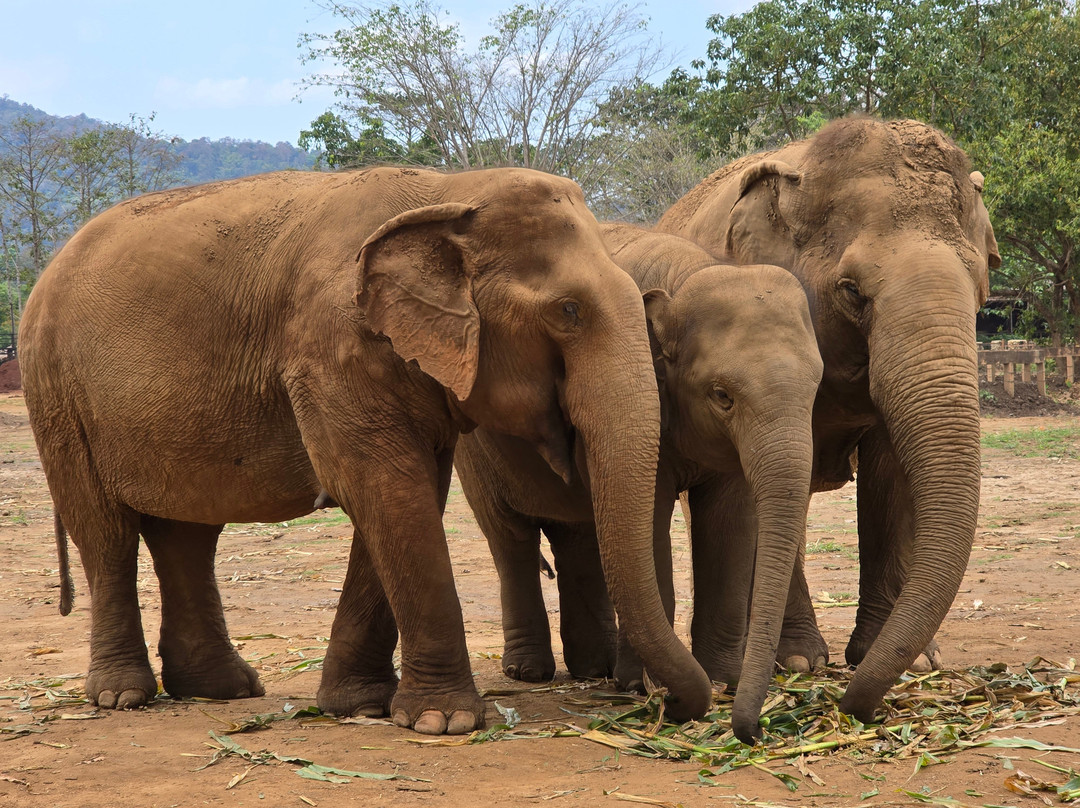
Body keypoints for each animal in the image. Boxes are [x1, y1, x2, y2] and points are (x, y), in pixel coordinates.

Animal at [18, 166, 712, 736]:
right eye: (568, 311)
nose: (663, 705)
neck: (450, 191)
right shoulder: (331, 348)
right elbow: (385, 488)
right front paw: (444, 723)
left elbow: (406, 494)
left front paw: (360, 707)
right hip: (54, 391)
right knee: (105, 531)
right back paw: (122, 698)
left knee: (186, 532)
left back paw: (222, 690)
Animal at [454, 222, 823, 743]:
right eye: (722, 396)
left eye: (817, 388)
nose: (750, 732)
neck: (690, 275)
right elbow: (650, 520)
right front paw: (642, 685)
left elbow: (730, 522)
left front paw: (722, 679)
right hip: (474, 451)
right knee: (509, 537)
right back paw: (530, 672)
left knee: (580, 536)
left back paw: (595, 668)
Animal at [657, 117, 1000, 723]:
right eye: (852, 291)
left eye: (980, 288)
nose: (853, 705)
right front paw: (798, 662)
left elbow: (891, 476)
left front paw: (908, 660)